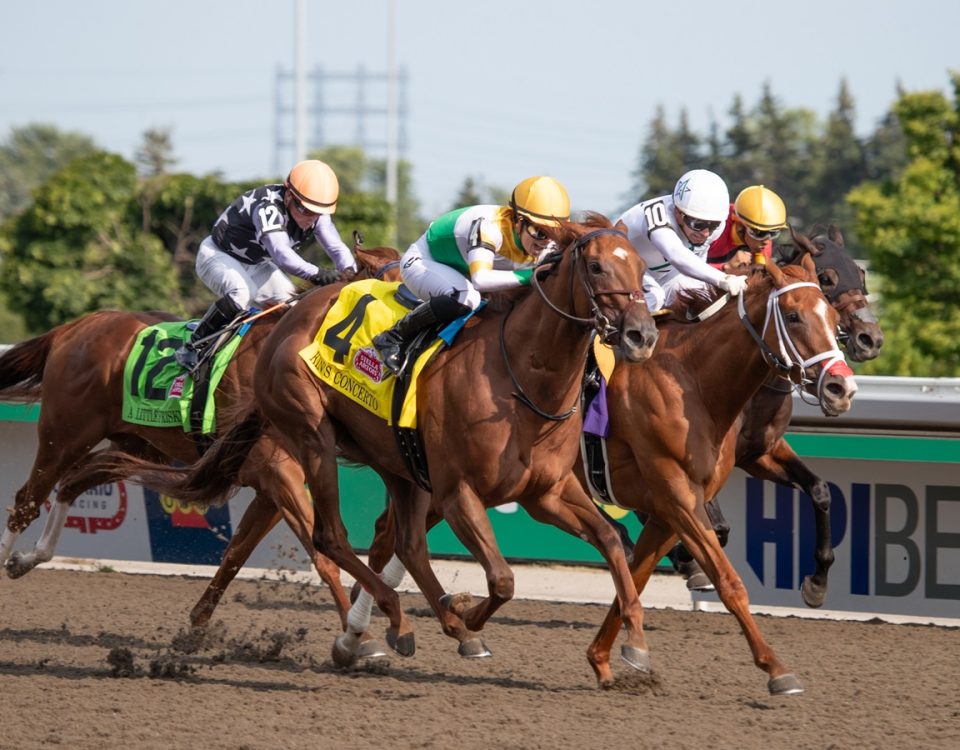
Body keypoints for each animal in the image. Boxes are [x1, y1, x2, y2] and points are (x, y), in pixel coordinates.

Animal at [0, 248, 398, 640]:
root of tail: (74, 328)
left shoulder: (274, 486)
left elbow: (236, 553)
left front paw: (197, 622)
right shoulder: (278, 473)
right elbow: (323, 557)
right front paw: (358, 638)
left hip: (137, 444)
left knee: (73, 482)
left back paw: (27, 559)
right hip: (65, 435)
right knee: (26, 501)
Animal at [90, 212, 660, 668]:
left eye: (641, 269)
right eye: (596, 267)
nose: (642, 334)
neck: (520, 374)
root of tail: (284, 323)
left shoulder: (546, 492)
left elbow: (613, 541)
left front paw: (633, 644)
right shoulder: (458, 491)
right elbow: (502, 580)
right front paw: (469, 619)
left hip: (395, 460)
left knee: (404, 543)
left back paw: (429, 624)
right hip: (312, 435)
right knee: (332, 537)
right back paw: (400, 623)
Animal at [580, 254, 860, 700]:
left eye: (832, 318)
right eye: (793, 316)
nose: (841, 388)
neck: (690, 380)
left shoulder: (675, 503)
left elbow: (637, 575)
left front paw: (610, 656)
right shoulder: (679, 497)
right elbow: (727, 580)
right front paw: (776, 669)